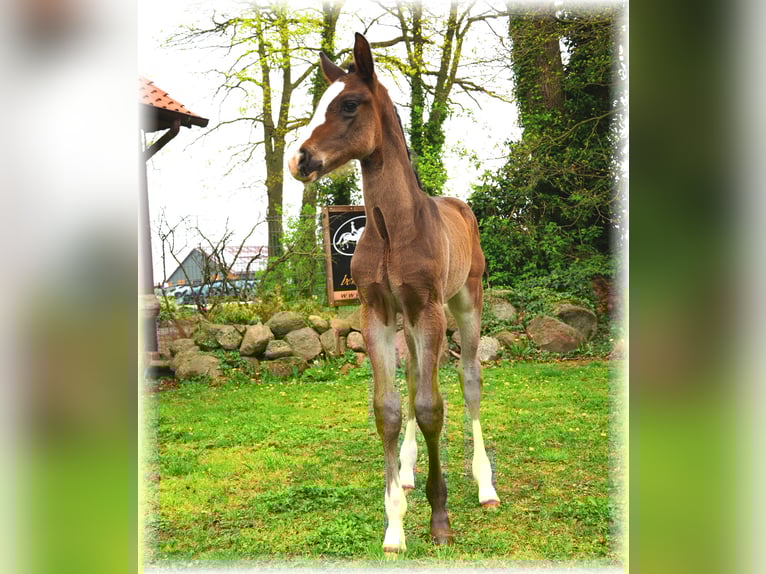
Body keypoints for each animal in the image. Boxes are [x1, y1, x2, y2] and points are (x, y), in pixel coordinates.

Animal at [288, 33, 500, 555]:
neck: (389, 231)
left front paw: (440, 520)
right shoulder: (377, 314)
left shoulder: (428, 310)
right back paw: (406, 471)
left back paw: (486, 486)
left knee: (468, 380)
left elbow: (430, 407)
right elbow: (388, 408)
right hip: (411, 320)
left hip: (465, 302)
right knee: (414, 376)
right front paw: (395, 526)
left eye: (348, 104)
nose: (299, 160)